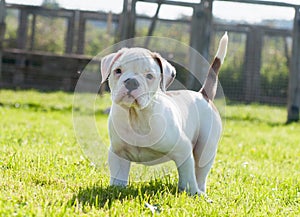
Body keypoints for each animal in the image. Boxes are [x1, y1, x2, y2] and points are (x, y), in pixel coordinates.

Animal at [101, 32, 227, 195]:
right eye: (118, 71)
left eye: (149, 76)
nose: (131, 82)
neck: (137, 116)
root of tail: (203, 95)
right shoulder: (118, 153)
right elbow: (118, 176)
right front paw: (116, 190)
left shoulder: (183, 149)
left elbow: (188, 177)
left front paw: (192, 193)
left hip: (206, 148)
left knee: (200, 173)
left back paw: (201, 192)